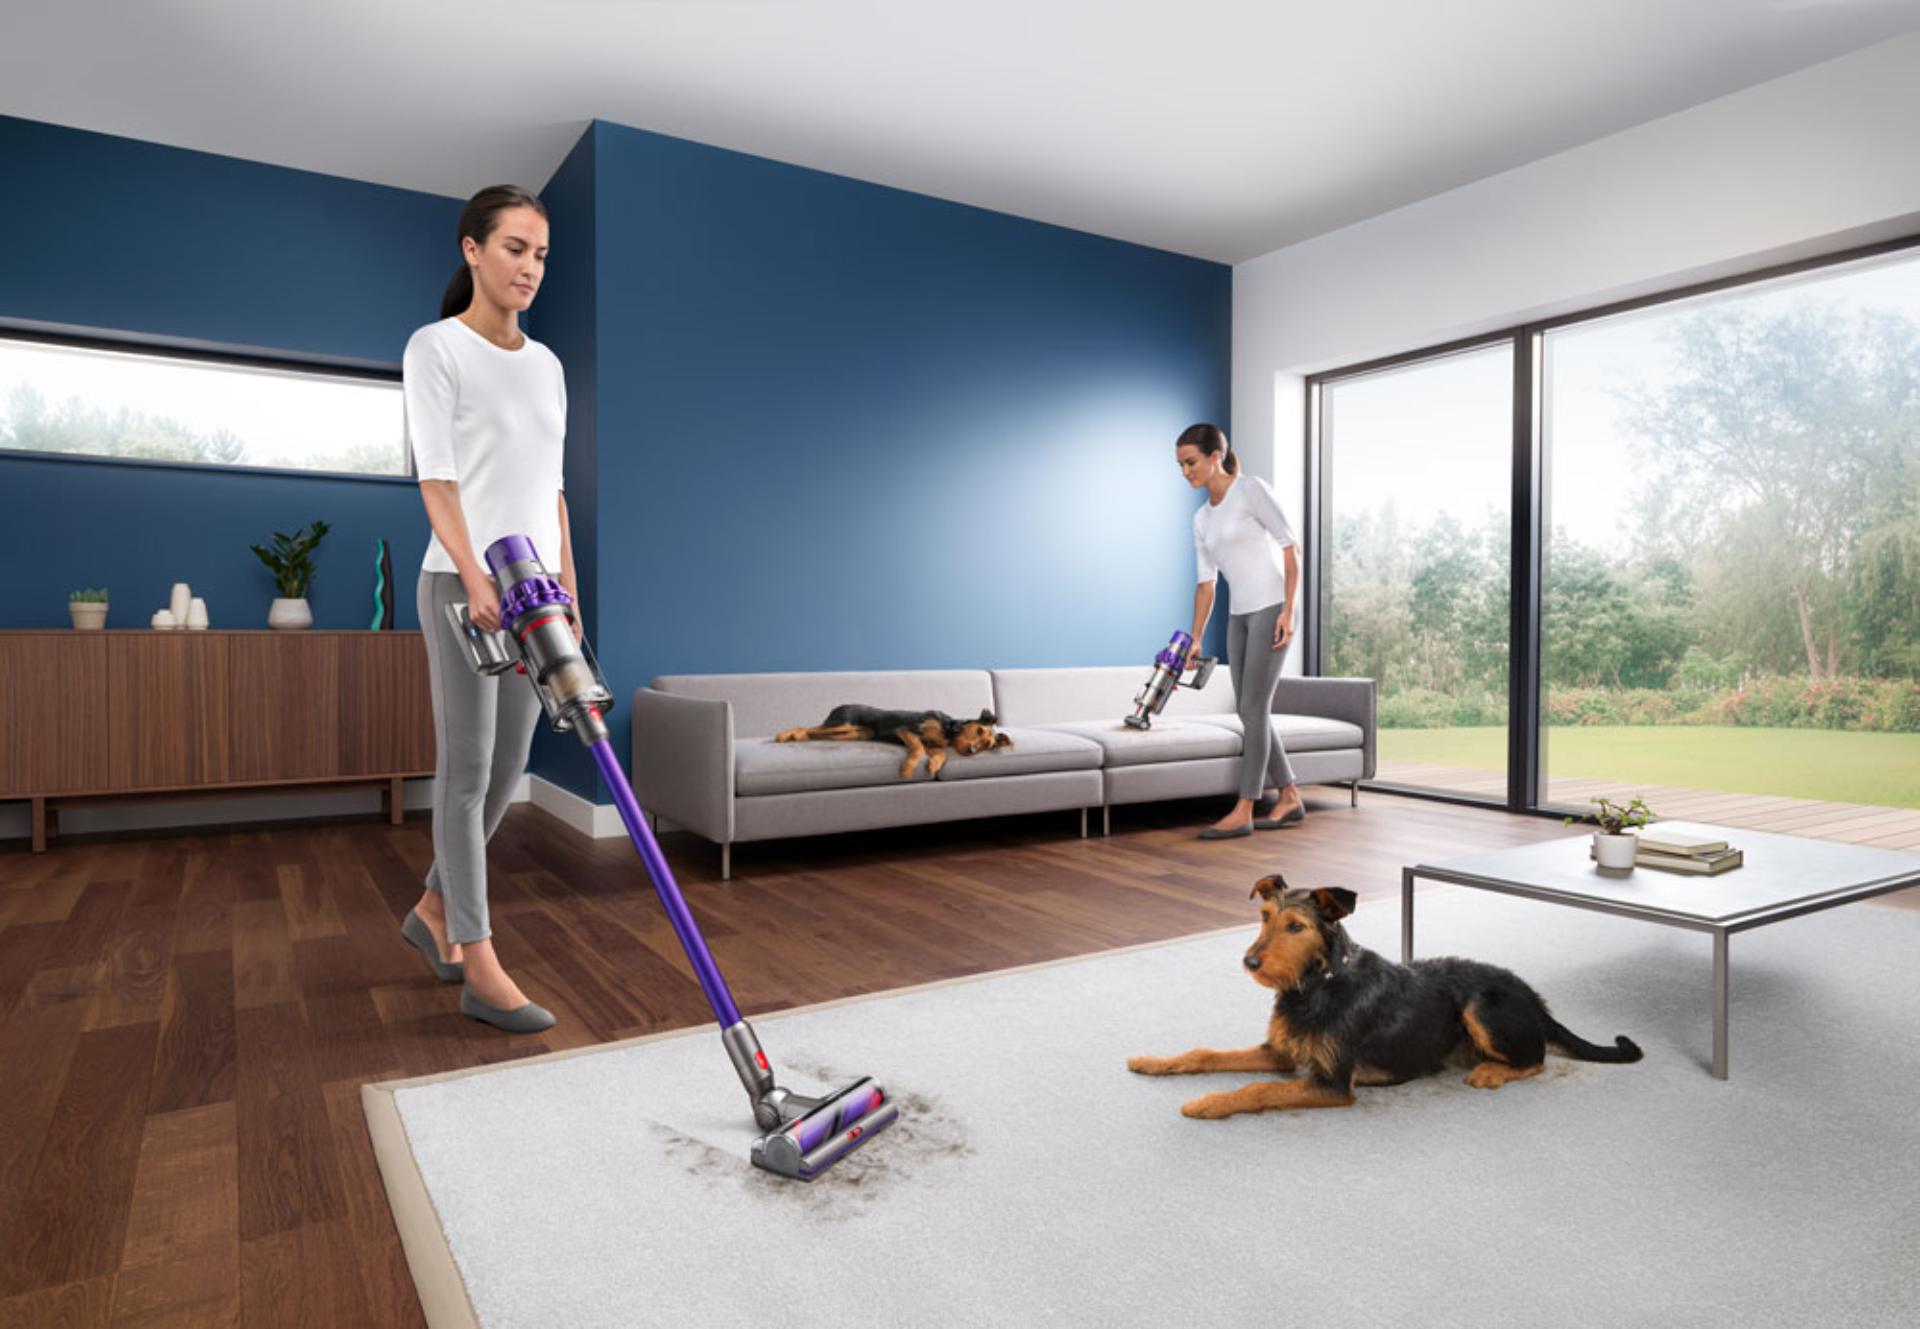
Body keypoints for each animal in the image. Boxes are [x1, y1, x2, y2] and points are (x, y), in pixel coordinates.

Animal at [771, 706, 1013, 779]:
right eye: (979, 729)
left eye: (989, 745)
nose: (971, 750)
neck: (949, 729)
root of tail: (837, 707)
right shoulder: (906, 730)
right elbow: (917, 748)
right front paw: (907, 770)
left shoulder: (934, 745)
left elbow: (940, 753)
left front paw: (933, 765)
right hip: (843, 723)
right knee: (808, 727)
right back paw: (785, 735)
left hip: (855, 734)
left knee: (815, 733)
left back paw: (796, 737)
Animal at [1128, 871, 1643, 1113]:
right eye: (1265, 917)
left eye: (1296, 926)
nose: (1250, 962)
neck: (1318, 985)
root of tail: (1535, 998)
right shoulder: (1282, 1053)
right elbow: (1204, 1053)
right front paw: (1152, 1062)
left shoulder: (1333, 1084)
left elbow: (1256, 1090)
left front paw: (1205, 1103)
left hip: (1480, 1007)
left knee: (1536, 1059)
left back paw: (1490, 1072)